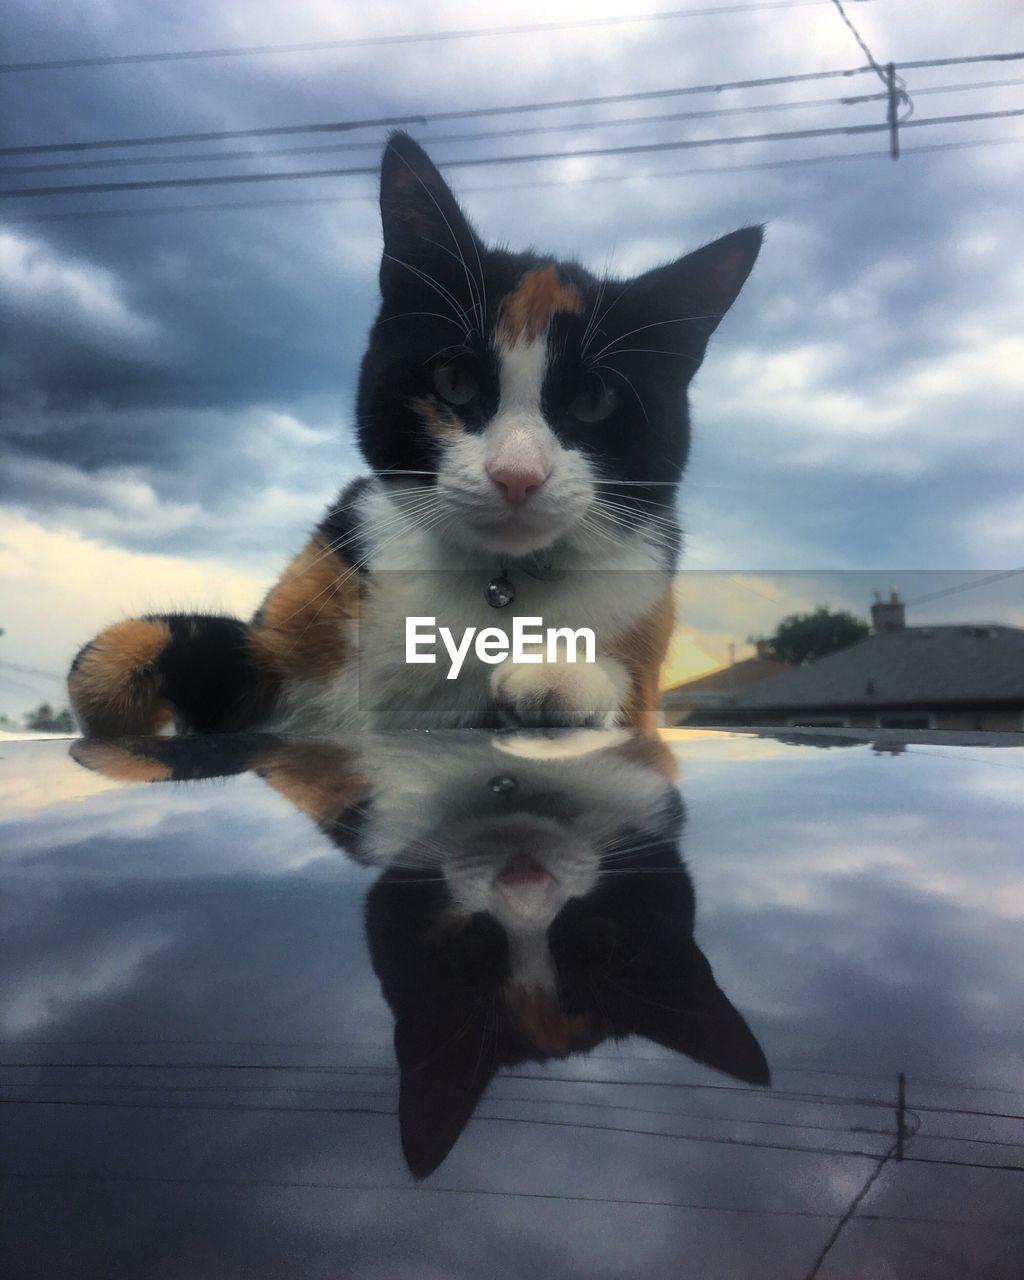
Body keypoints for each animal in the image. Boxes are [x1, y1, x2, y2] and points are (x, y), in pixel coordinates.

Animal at [67, 131, 757, 737]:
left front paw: (563, 674)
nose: (517, 474)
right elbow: (108, 659)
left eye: (593, 401)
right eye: (454, 380)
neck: (496, 582)